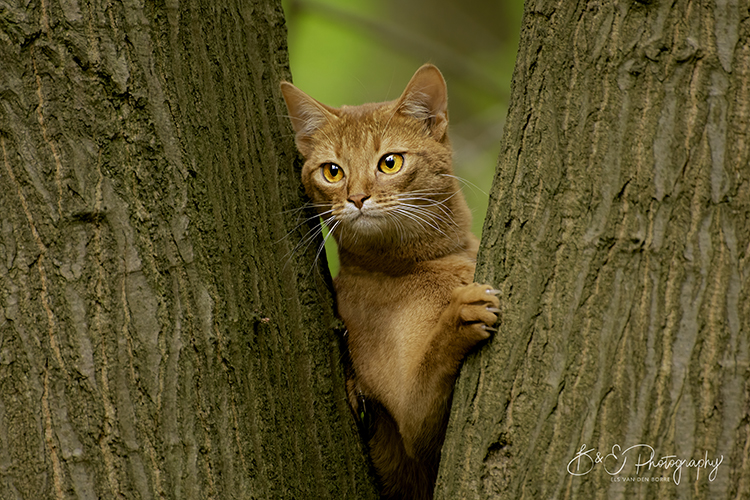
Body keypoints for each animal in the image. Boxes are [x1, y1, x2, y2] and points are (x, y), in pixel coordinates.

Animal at [280, 64, 500, 498]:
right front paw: (461, 313)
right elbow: (431, 363)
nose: (357, 198)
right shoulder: (412, 422)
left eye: (390, 163)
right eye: (333, 171)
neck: (431, 263)